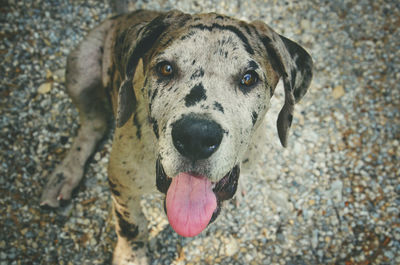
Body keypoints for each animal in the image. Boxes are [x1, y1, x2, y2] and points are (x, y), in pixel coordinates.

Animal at [42, 9, 314, 262]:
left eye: (248, 78)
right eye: (166, 68)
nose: (196, 138)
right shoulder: (120, 182)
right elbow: (132, 225)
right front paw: (132, 256)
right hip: (79, 68)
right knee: (93, 125)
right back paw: (64, 175)